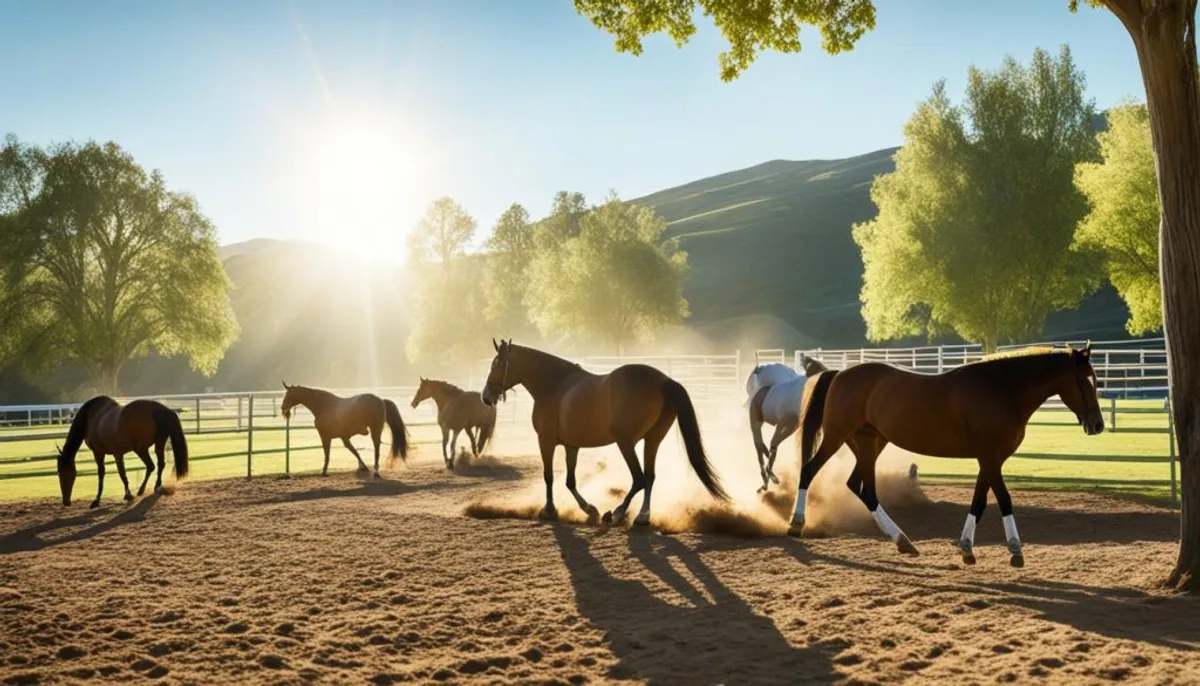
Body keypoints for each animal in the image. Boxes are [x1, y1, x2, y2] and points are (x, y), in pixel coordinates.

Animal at [56, 395, 189, 508]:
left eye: (61, 473)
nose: (66, 502)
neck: (91, 417)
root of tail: (162, 410)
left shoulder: (102, 453)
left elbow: (111, 474)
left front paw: (100, 499)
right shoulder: (116, 454)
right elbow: (119, 473)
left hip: (141, 449)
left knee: (151, 466)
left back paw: (142, 490)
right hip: (158, 443)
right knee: (159, 464)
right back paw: (155, 487)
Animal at [278, 383, 410, 479]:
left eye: (289, 395)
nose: (283, 408)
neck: (323, 406)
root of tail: (381, 400)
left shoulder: (325, 437)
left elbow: (327, 454)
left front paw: (324, 471)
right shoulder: (344, 437)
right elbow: (354, 451)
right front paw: (363, 467)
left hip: (375, 430)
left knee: (376, 448)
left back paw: (376, 471)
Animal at [475, 338, 720, 525]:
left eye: (496, 363)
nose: (486, 397)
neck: (554, 385)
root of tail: (665, 380)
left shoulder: (545, 441)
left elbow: (549, 476)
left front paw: (550, 510)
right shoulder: (571, 445)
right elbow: (570, 481)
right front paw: (588, 509)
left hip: (625, 442)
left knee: (639, 479)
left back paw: (617, 513)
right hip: (653, 440)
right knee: (649, 477)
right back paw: (642, 516)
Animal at [744, 352, 830, 494]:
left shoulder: (791, 426)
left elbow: (773, 446)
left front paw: (771, 479)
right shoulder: (784, 425)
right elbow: (772, 446)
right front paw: (769, 480)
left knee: (763, 447)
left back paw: (768, 479)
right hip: (755, 425)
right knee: (759, 448)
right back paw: (766, 479)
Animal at [787, 343, 1104, 568]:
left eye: (1096, 379)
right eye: (1083, 380)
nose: (1098, 425)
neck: (1001, 391)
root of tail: (840, 374)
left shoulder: (989, 460)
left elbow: (979, 501)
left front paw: (967, 548)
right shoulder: (991, 459)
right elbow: (1003, 499)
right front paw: (1016, 550)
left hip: (869, 444)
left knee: (862, 488)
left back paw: (903, 541)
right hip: (837, 436)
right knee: (809, 470)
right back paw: (796, 524)